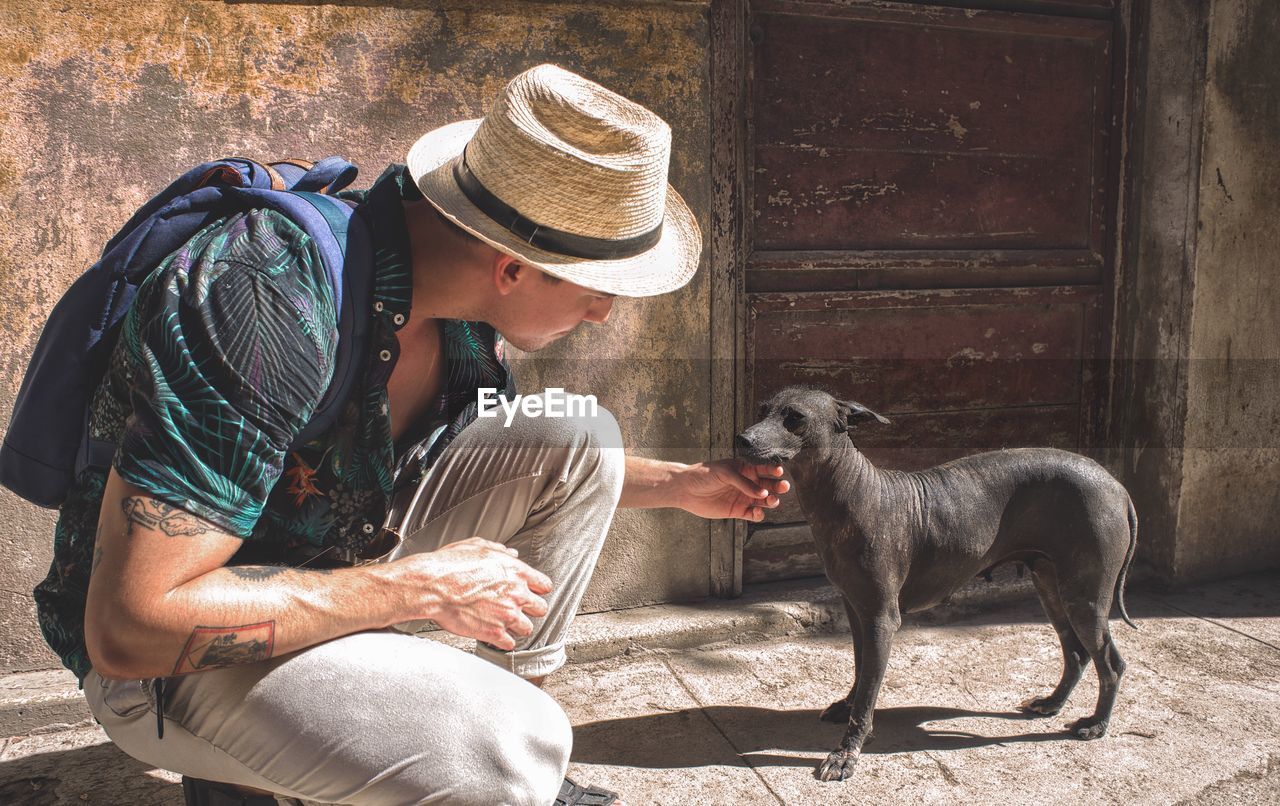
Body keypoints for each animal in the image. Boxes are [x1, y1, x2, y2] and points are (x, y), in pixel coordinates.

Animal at [737, 388, 1136, 777]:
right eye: (761, 409)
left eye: (795, 418)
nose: (741, 439)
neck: (849, 495)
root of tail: (1117, 486)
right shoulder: (855, 610)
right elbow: (861, 668)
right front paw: (847, 707)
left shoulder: (881, 619)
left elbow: (868, 692)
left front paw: (846, 754)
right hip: (1050, 588)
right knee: (1076, 653)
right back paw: (1051, 703)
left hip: (1084, 598)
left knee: (1111, 663)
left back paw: (1096, 724)